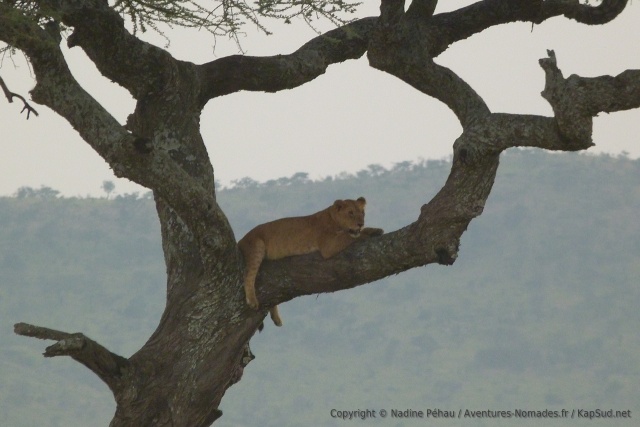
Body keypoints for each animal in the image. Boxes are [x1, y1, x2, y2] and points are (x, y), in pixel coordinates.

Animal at [238, 197, 383, 327]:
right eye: (350, 213)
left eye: (362, 213)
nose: (360, 223)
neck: (332, 217)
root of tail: (241, 240)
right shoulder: (329, 245)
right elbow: (350, 237)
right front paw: (367, 233)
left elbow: (357, 233)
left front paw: (375, 230)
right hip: (256, 245)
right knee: (248, 274)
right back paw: (252, 301)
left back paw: (276, 318)